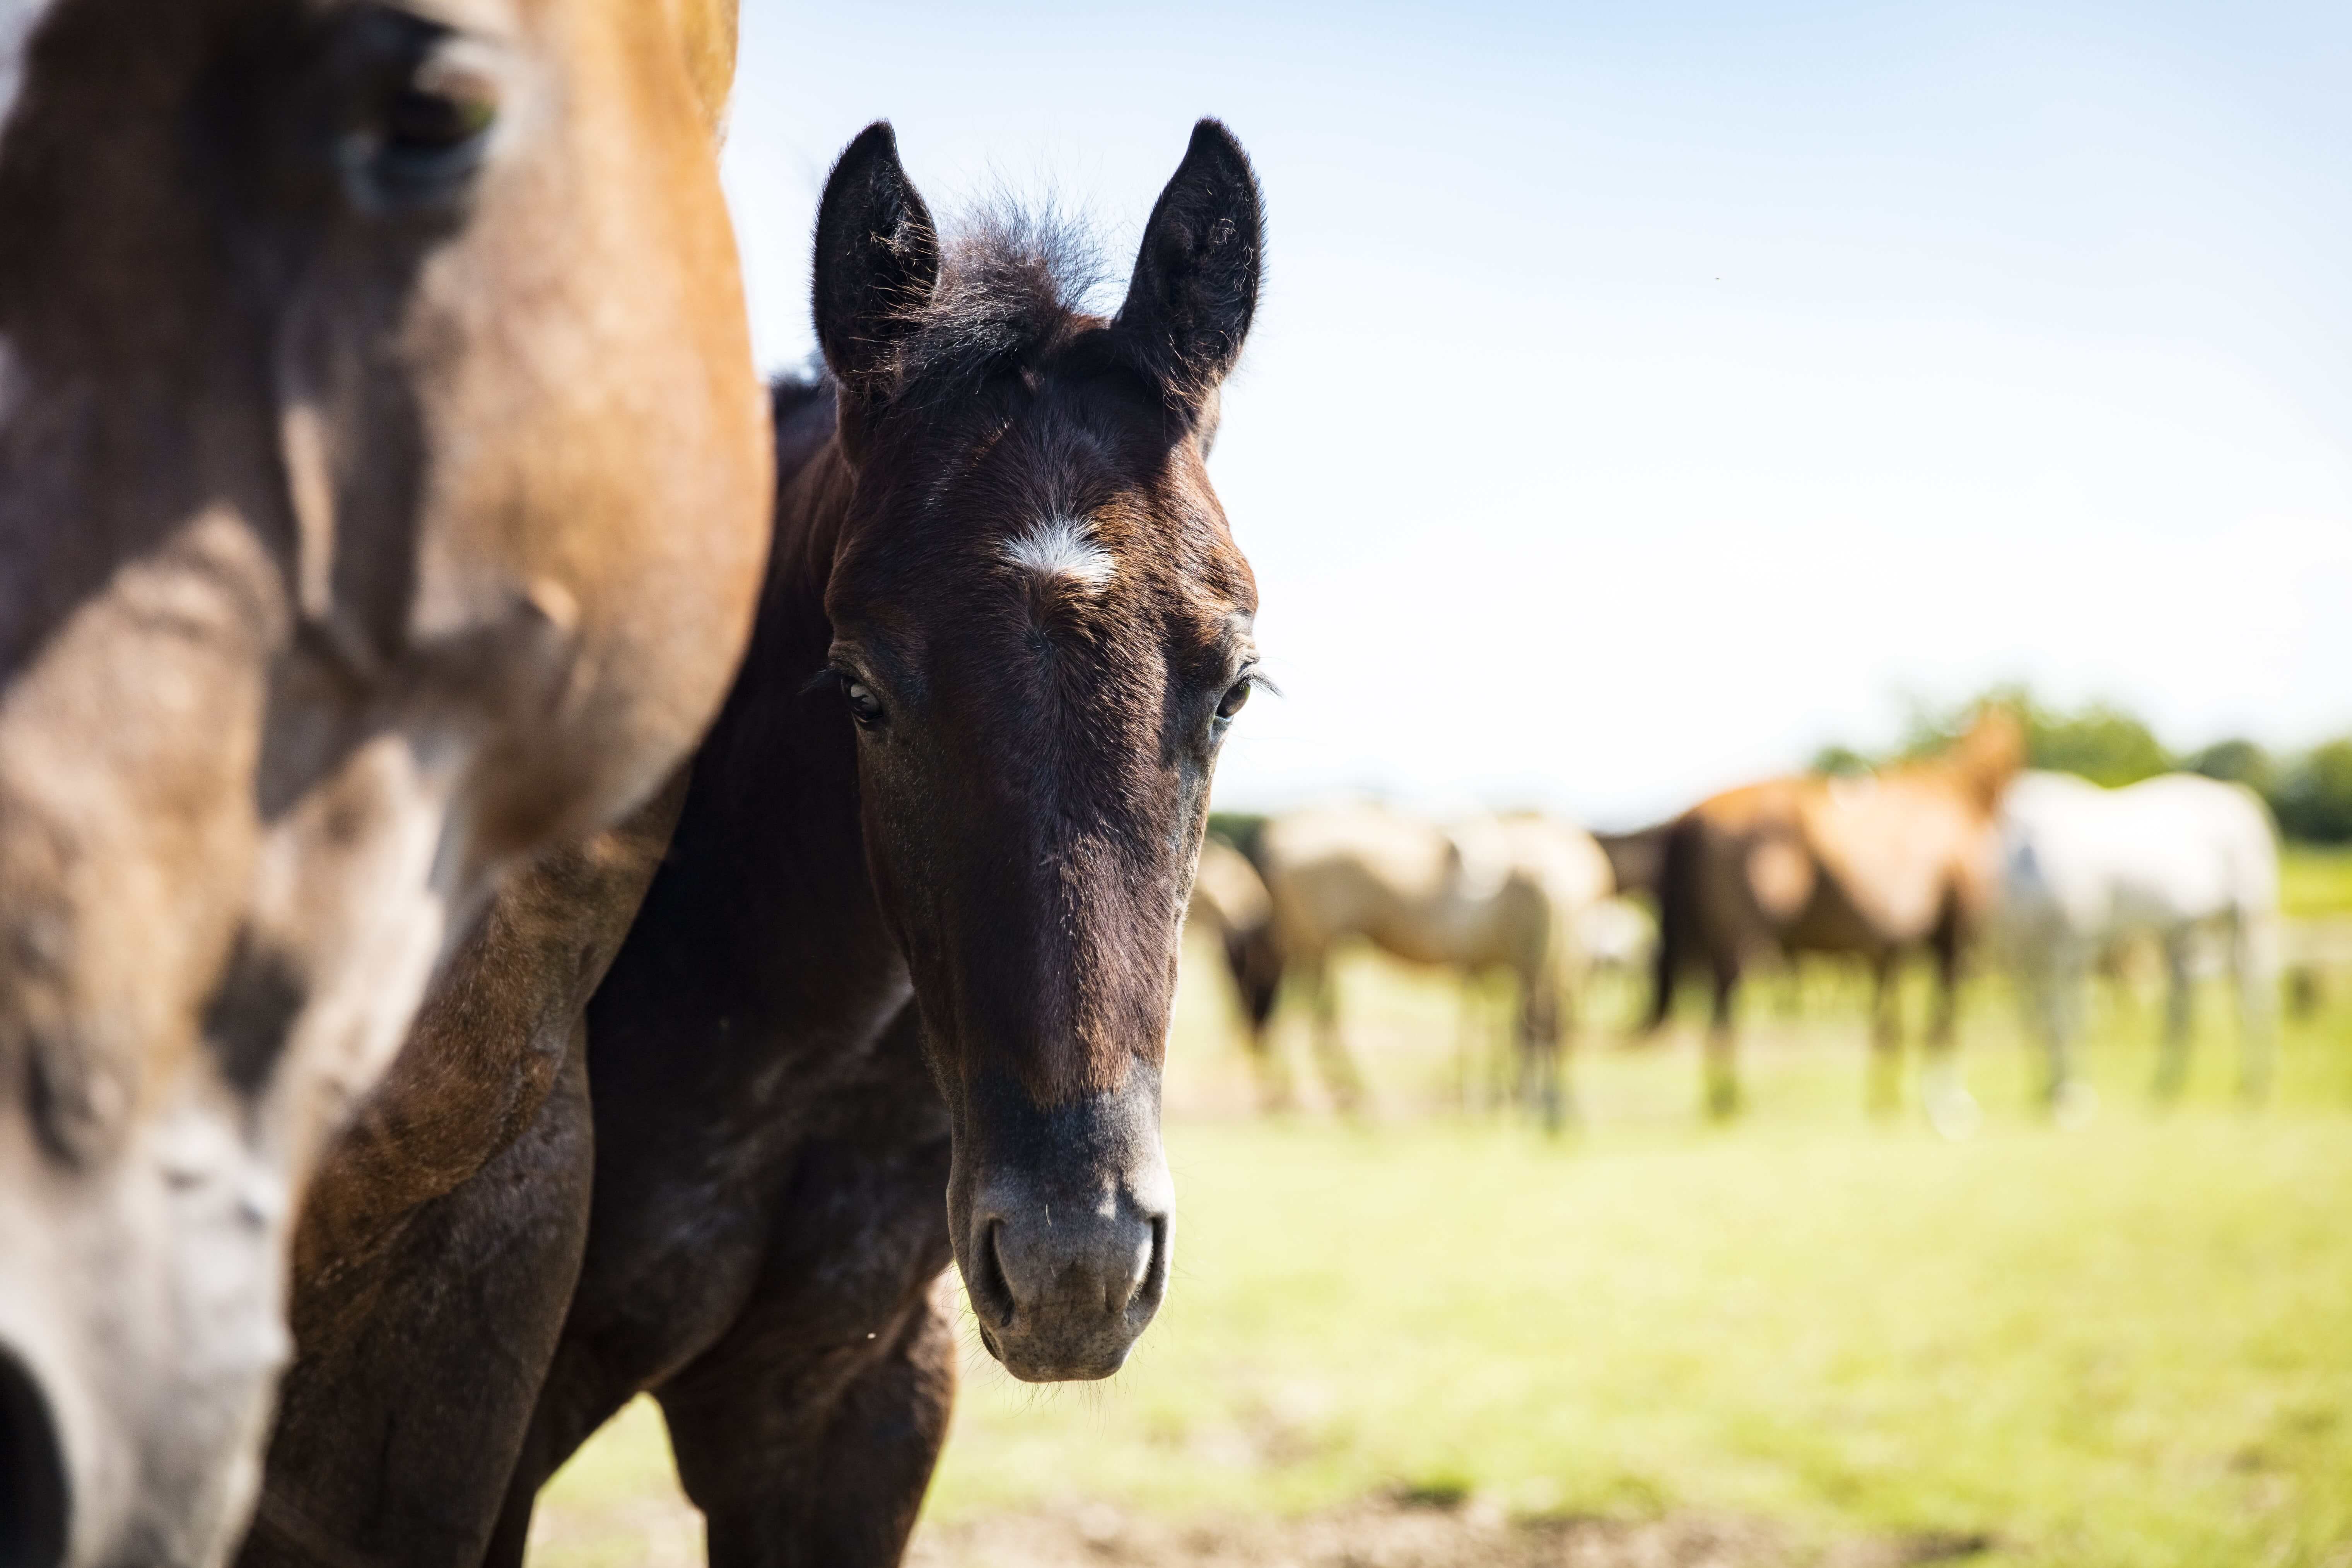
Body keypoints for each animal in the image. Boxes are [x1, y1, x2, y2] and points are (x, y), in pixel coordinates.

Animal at [1245, 803, 1611, 1126]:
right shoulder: (1521, 966)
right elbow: (1525, 1029)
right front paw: (1525, 1100)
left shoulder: (1510, 968)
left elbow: (1510, 1027)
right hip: (1316, 944)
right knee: (1310, 1016)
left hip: (1317, 946)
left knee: (1315, 1015)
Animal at [1646, 711, 2023, 1124]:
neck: (1957, 795)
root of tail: (1694, 813)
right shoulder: (1950, 939)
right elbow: (1941, 1022)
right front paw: (1946, 1103)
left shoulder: (1888, 947)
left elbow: (1889, 1024)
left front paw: (1886, 1099)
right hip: (1739, 944)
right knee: (1722, 1019)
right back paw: (1730, 1104)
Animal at [1996, 770, 2281, 1120]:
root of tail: (2238, 796)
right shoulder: (2024, 953)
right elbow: (2039, 1020)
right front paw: (2049, 1088)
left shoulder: (2070, 944)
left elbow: (2067, 1018)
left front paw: (2069, 1092)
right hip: (2182, 931)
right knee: (2183, 1005)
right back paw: (2169, 1085)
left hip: (2245, 917)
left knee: (2251, 996)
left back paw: (2253, 1087)